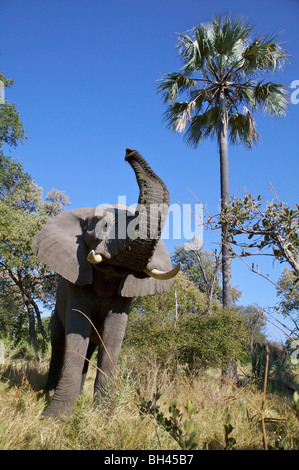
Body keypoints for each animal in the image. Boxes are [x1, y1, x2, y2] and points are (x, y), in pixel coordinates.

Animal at [31, 149, 180, 416]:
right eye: (103, 225)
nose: (129, 152)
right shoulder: (76, 277)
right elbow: (77, 328)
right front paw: (54, 418)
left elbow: (113, 336)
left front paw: (101, 416)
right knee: (59, 342)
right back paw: (48, 394)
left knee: (89, 349)